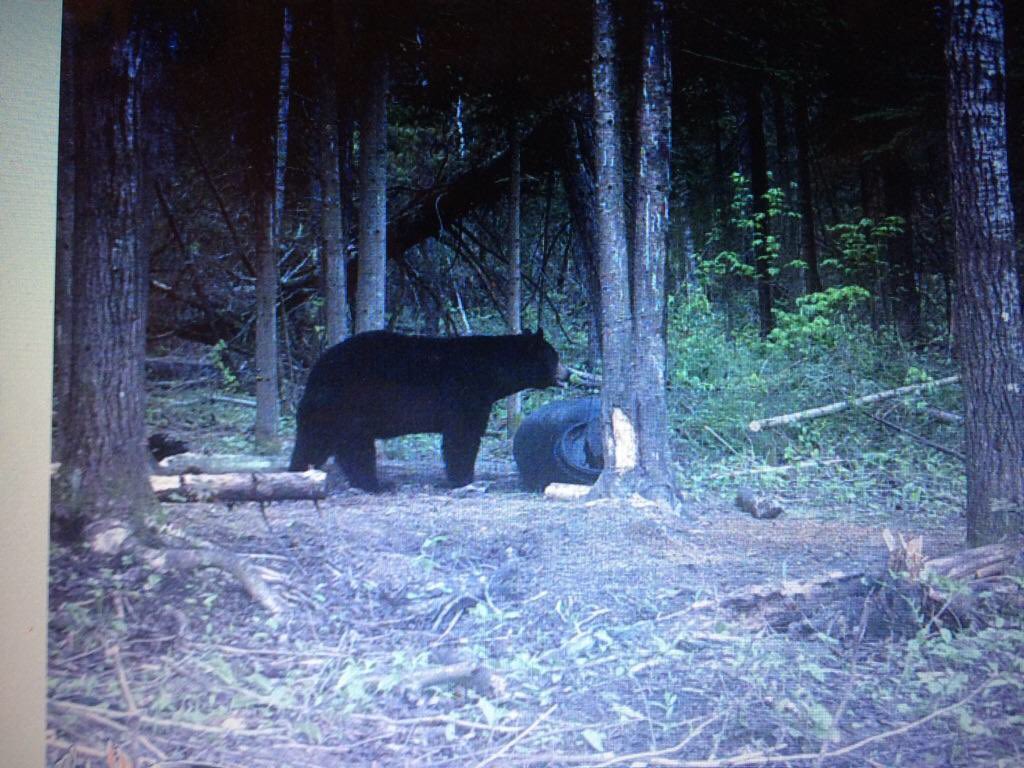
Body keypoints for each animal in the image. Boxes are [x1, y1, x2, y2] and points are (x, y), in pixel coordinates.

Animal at [289, 329, 569, 490]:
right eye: (554, 357)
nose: (567, 373)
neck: (493, 371)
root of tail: (318, 370)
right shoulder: (466, 391)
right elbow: (463, 435)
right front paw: (464, 478)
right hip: (352, 403)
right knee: (354, 447)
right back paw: (376, 484)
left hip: (325, 412)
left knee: (312, 441)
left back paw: (299, 472)